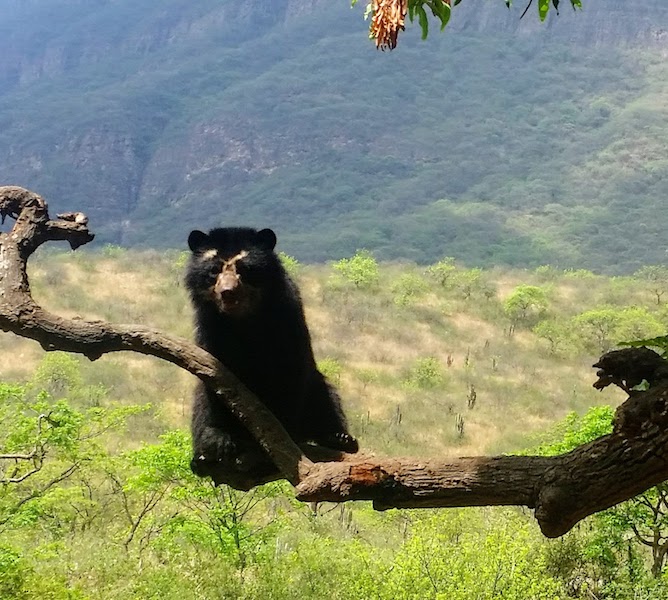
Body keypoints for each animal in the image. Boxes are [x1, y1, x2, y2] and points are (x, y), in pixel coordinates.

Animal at [183, 227, 360, 480]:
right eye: (213, 270)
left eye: (245, 268)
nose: (227, 293)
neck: (243, 320)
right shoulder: (210, 329)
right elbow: (214, 379)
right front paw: (218, 441)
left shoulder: (286, 321)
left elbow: (288, 373)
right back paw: (203, 457)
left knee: (326, 398)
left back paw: (340, 438)